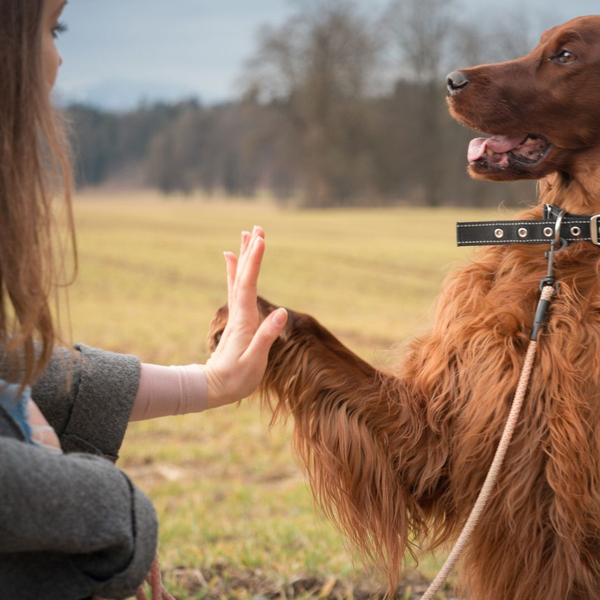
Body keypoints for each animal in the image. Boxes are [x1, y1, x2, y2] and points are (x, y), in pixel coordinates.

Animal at [209, 17, 600, 600]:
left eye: (567, 55)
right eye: (539, 43)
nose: (452, 80)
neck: (574, 242)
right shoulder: (446, 430)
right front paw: (250, 317)